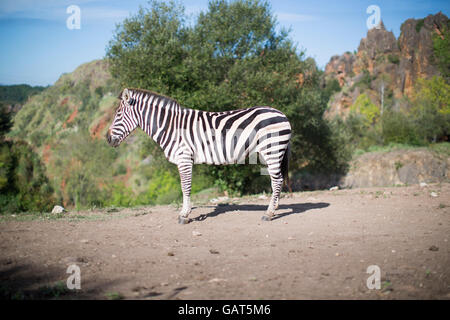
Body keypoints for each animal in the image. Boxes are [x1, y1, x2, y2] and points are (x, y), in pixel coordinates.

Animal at [107, 87, 294, 222]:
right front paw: (186, 212)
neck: (171, 126)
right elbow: (185, 186)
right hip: (273, 152)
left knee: (277, 180)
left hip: (272, 150)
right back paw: (275, 208)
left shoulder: (184, 158)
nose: (107, 139)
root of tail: (281, 113)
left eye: (118, 115)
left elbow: (185, 187)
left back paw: (269, 214)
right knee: (277, 180)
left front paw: (184, 215)